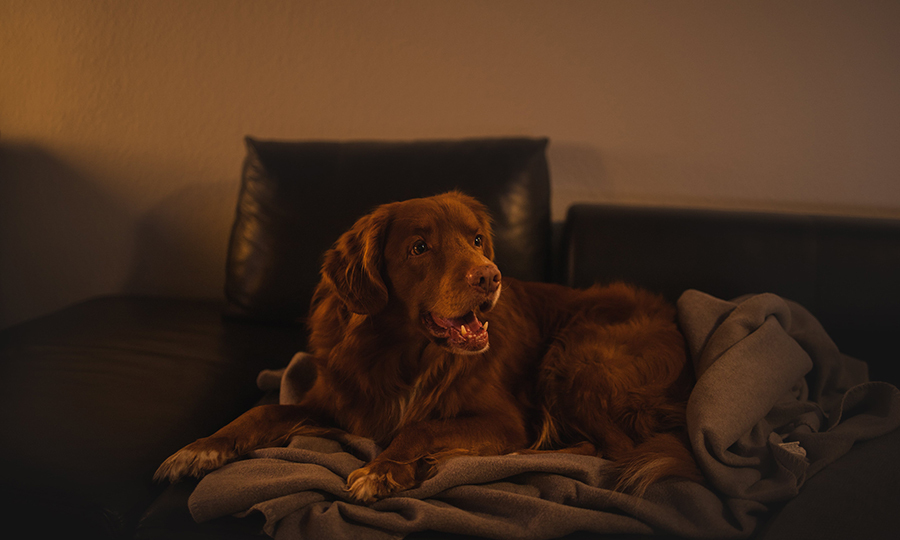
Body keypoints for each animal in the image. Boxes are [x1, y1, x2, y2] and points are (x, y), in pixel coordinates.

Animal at [155, 192, 700, 500]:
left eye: (477, 240)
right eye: (420, 248)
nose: (490, 277)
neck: (405, 355)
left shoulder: (505, 420)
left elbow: (419, 427)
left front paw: (383, 469)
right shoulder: (339, 405)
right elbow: (261, 413)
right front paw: (199, 449)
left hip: (571, 359)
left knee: (615, 450)